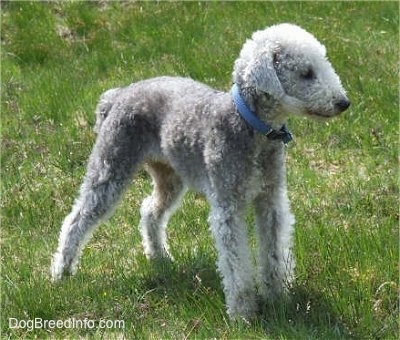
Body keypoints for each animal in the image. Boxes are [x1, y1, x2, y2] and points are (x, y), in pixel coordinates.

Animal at [50, 23, 350, 318]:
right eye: (306, 73)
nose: (343, 103)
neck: (249, 126)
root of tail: (117, 95)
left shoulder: (270, 200)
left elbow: (274, 252)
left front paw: (278, 299)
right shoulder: (228, 207)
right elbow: (235, 264)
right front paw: (243, 312)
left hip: (169, 176)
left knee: (149, 211)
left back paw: (159, 257)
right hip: (111, 166)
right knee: (76, 219)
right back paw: (61, 272)